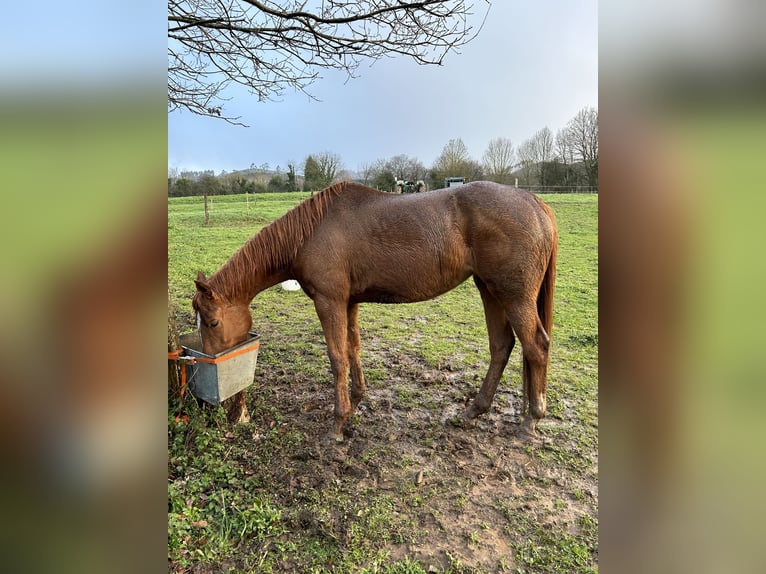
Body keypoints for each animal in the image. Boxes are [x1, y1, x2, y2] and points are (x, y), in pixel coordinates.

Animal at [194, 182, 560, 444]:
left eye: (212, 322)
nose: (210, 365)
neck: (309, 233)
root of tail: (534, 202)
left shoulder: (329, 302)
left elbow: (337, 357)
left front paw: (337, 424)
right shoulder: (349, 302)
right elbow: (353, 349)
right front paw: (356, 401)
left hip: (513, 296)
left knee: (536, 346)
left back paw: (531, 421)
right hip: (490, 290)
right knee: (501, 346)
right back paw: (474, 411)